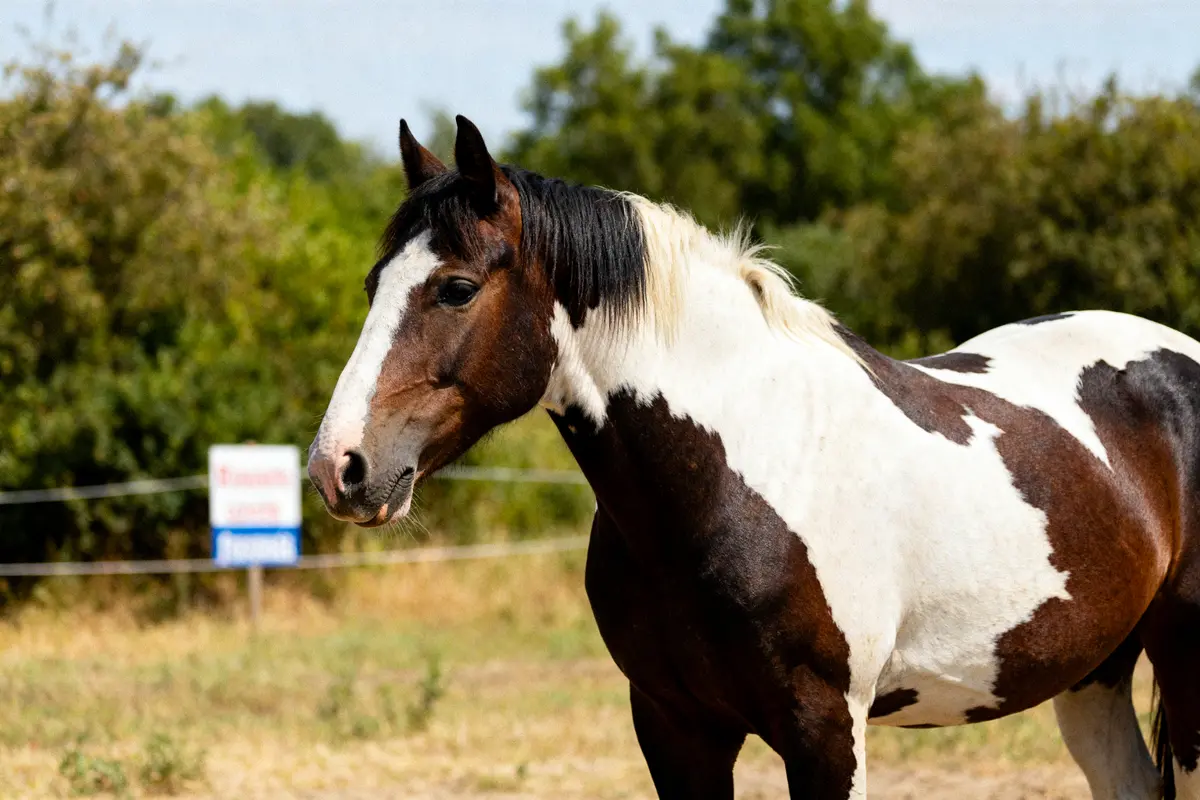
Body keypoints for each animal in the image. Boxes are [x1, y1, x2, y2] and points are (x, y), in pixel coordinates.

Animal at [306, 115, 1200, 799]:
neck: (741, 476)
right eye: (373, 285)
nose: (339, 467)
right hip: (1093, 674)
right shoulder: (675, 726)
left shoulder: (825, 731)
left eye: (456, 288)